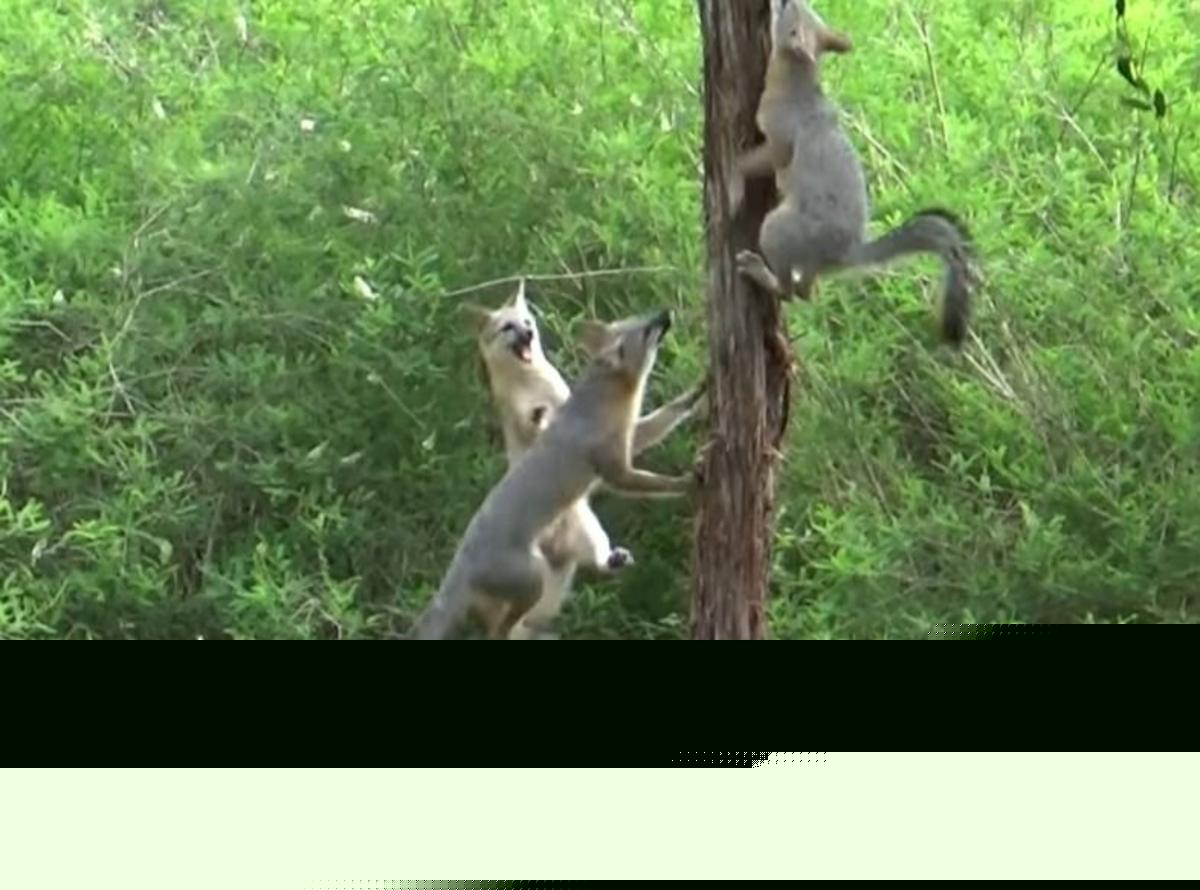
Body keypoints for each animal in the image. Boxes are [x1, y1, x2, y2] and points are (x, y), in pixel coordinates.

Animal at [411, 309, 699, 640]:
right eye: (645, 329)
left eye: (643, 315)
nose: (665, 312)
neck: (598, 406)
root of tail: (461, 560)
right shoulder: (615, 470)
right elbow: (658, 483)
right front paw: (690, 481)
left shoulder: (630, 439)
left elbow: (669, 413)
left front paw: (700, 390)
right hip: (534, 579)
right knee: (499, 630)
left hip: (585, 532)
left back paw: (613, 560)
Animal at [733, 0, 981, 345]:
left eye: (787, 10)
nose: (776, 2)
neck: (797, 80)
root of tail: (844, 255)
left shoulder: (780, 139)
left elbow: (757, 161)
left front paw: (732, 181)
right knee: (807, 292)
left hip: (778, 231)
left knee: (791, 292)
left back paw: (759, 272)